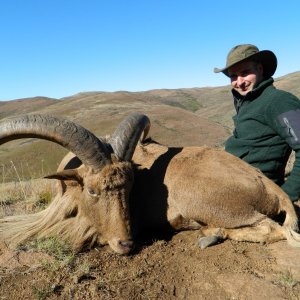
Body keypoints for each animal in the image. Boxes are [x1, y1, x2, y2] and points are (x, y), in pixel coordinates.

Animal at [0, 113, 300, 255]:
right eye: (92, 190)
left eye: (131, 189)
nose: (125, 244)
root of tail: (274, 190)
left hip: (213, 205)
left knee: (273, 229)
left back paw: (211, 234)